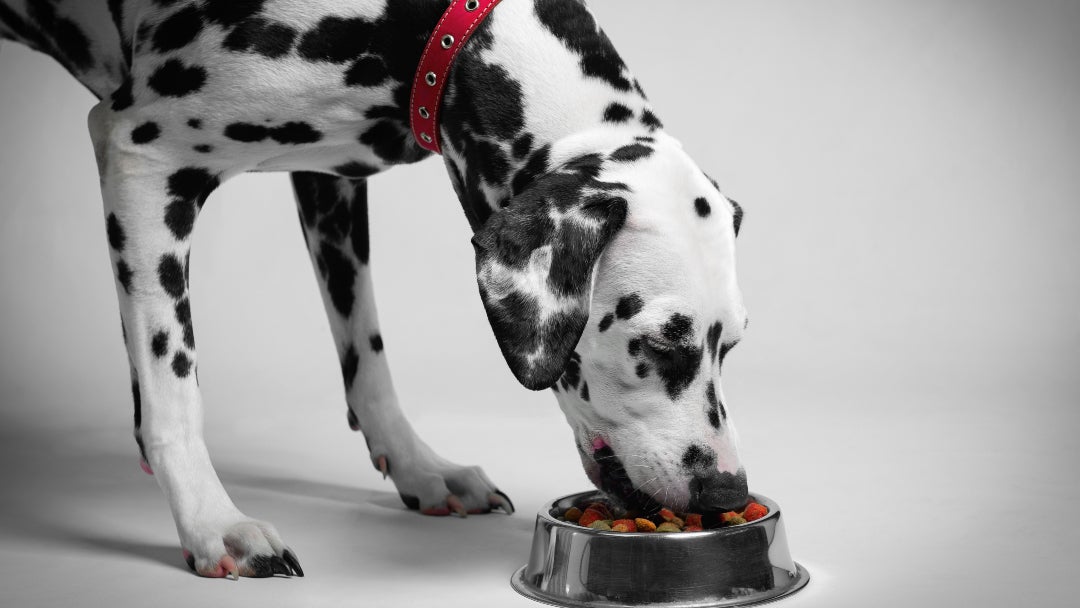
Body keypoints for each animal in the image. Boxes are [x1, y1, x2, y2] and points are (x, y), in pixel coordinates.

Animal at [2, 0, 751, 578]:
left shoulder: (327, 179)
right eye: (657, 343)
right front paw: (211, 521)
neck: (413, 27)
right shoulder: (141, 155)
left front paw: (421, 469)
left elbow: (367, 353)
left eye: (733, 347)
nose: (725, 490)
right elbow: (172, 383)